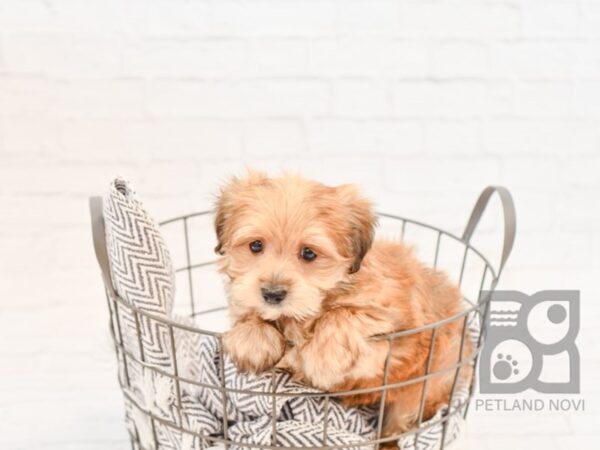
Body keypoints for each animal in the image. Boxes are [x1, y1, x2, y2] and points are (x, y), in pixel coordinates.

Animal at [216, 170, 474, 446]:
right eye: (256, 245)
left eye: (308, 253)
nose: (272, 294)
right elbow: (247, 311)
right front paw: (253, 339)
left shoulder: (394, 328)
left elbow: (341, 314)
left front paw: (322, 358)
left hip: (424, 388)